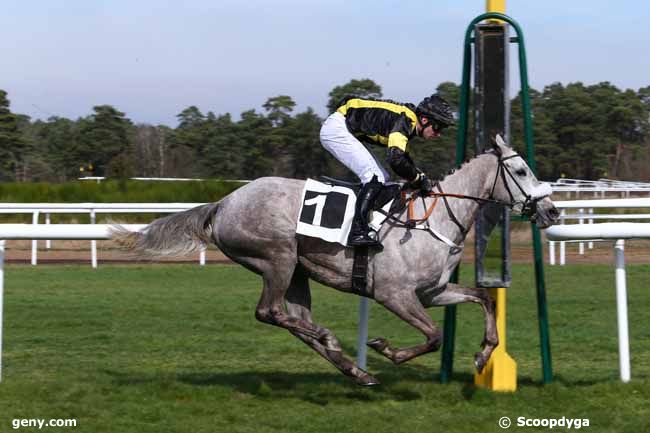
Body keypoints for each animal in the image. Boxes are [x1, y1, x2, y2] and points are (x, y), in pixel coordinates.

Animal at [111, 138, 556, 384]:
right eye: (521, 170)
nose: (551, 211)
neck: (435, 218)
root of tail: (223, 203)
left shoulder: (433, 292)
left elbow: (482, 297)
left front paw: (484, 355)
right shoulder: (394, 294)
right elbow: (434, 336)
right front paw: (386, 349)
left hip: (296, 273)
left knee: (294, 321)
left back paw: (354, 369)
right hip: (278, 258)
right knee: (269, 312)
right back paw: (335, 343)